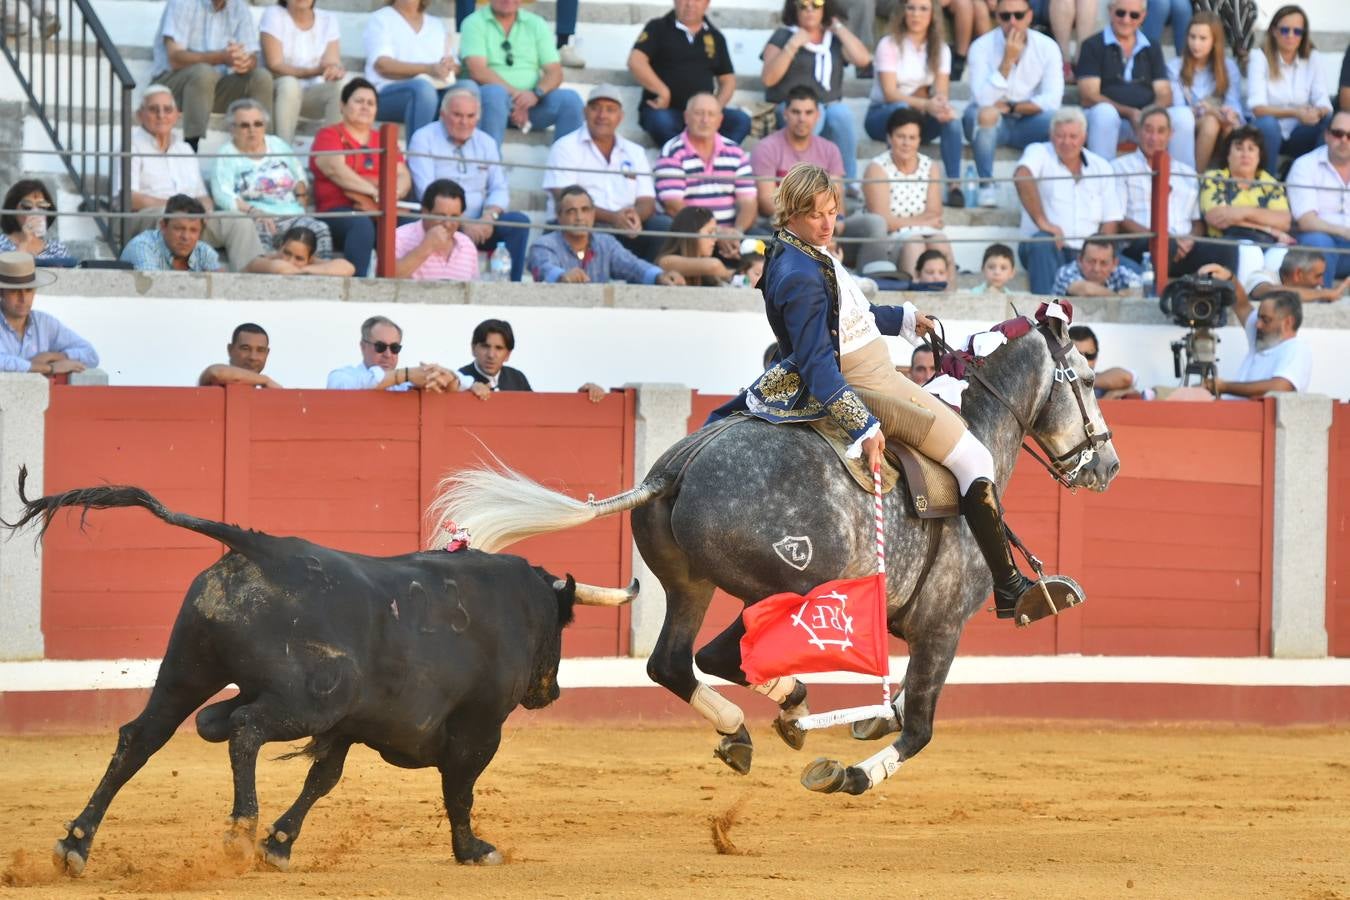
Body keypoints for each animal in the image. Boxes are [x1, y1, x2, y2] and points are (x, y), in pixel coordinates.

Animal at [2, 474, 634, 874]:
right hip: (311, 699)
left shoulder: (350, 726)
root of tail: (258, 548)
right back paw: (238, 831)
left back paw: (76, 844)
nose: (551, 691)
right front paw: (474, 850)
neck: (513, 601)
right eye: (562, 627)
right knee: (246, 729)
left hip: (186, 670)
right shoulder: (477, 730)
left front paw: (280, 845)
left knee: (145, 736)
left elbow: (321, 779)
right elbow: (460, 791)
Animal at [429, 317, 1117, 793]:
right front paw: (850, 774)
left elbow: (900, 711)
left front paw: (864, 723)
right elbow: (919, 726)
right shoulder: (942, 627)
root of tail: (676, 466)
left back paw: (748, 728)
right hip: (790, 588)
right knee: (720, 654)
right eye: (1085, 380)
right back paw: (789, 711)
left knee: (673, 660)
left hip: (692, 585)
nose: (1107, 465)